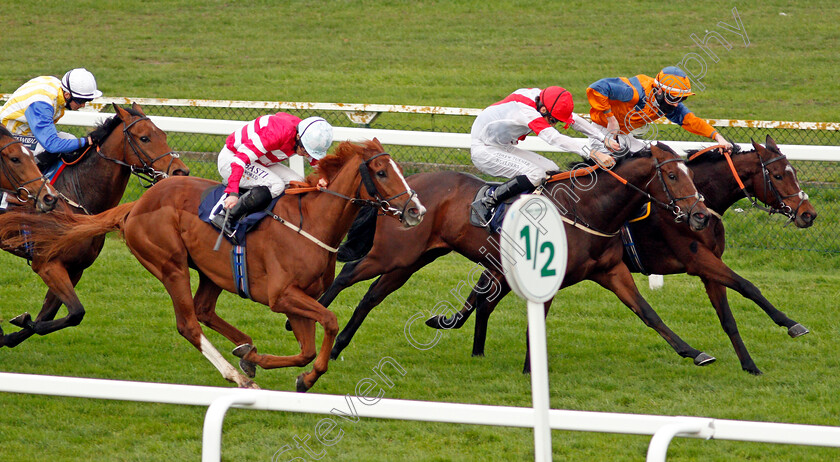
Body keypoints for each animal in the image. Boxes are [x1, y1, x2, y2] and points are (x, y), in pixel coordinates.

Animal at [1, 104, 189, 348]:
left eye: (164, 135)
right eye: (144, 138)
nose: (180, 172)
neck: (76, 197)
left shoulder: (74, 268)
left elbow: (61, 315)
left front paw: (13, 330)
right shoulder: (47, 264)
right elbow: (74, 312)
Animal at [4, 139, 426, 392]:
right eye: (382, 172)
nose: (415, 211)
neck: (312, 223)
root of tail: (136, 205)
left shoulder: (298, 299)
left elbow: (307, 348)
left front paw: (285, 368)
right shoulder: (282, 296)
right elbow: (331, 321)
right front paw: (293, 374)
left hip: (211, 270)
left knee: (205, 310)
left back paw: (245, 351)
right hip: (170, 263)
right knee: (189, 323)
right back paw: (236, 372)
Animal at [316, 143, 716, 366]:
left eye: (690, 173)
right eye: (672, 176)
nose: (699, 214)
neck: (587, 209)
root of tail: (405, 190)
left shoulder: (612, 271)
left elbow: (648, 313)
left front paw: (694, 352)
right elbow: (532, 325)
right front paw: (530, 369)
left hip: (413, 259)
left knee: (371, 296)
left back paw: (337, 346)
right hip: (392, 253)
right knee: (347, 274)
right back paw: (311, 315)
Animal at [436, 134, 816, 376]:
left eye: (794, 172)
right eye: (779, 174)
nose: (808, 214)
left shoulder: (706, 266)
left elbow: (727, 317)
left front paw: (749, 365)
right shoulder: (697, 260)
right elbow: (749, 286)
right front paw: (792, 325)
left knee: (483, 299)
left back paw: (476, 349)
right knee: (483, 299)